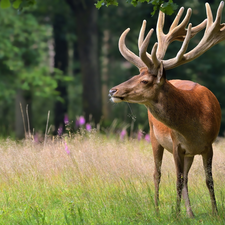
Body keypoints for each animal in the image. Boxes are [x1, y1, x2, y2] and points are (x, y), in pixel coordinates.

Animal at [109, 1, 225, 218]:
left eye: (144, 81)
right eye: (135, 75)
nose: (113, 90)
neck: (193, 129)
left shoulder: (209, 145)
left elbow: (208, 180)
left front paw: (214, 212)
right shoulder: (176, 144)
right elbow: (177, 181)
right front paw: (176, 215)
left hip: (188, 153)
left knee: (185, 177)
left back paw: (190, 213)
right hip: (155, 137)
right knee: (157, 173)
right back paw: (156, 210)